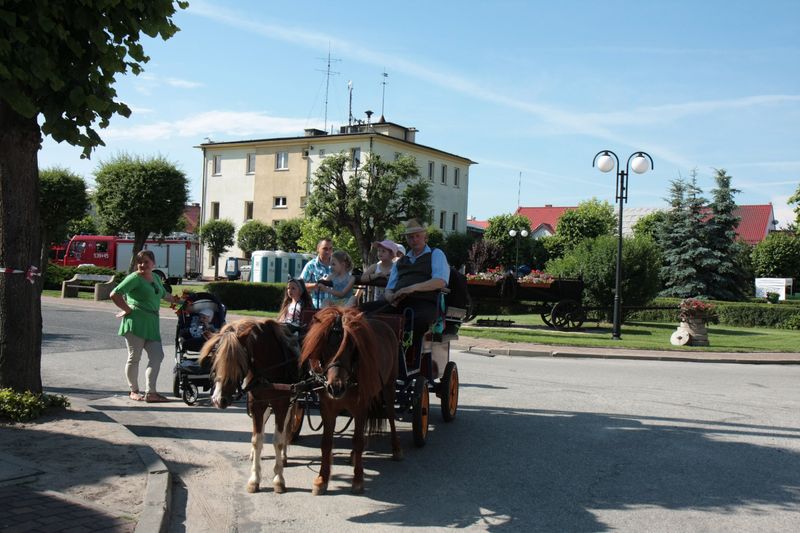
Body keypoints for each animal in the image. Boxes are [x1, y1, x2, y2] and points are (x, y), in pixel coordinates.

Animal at [199, 318, 300, 492]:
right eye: (214, 360)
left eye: (238, 362)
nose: (219, 399)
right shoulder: (256, 405)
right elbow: (257, 440)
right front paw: (254, 479)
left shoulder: (282, 404)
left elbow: (278, 441)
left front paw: (278, 479)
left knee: (286, 428)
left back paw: (284, 456)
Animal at [298, 308, 404, 494]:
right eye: (325, 346)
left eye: (352, 347)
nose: (336, 388)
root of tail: (385, 325)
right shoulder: (327, 408)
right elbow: (326, 442)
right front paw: (322, 479)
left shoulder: (360, 406)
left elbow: (358, 441)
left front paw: (358, 480)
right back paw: (354, 455)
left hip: (389, 387)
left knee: (391, 415)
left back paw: (396, 449)